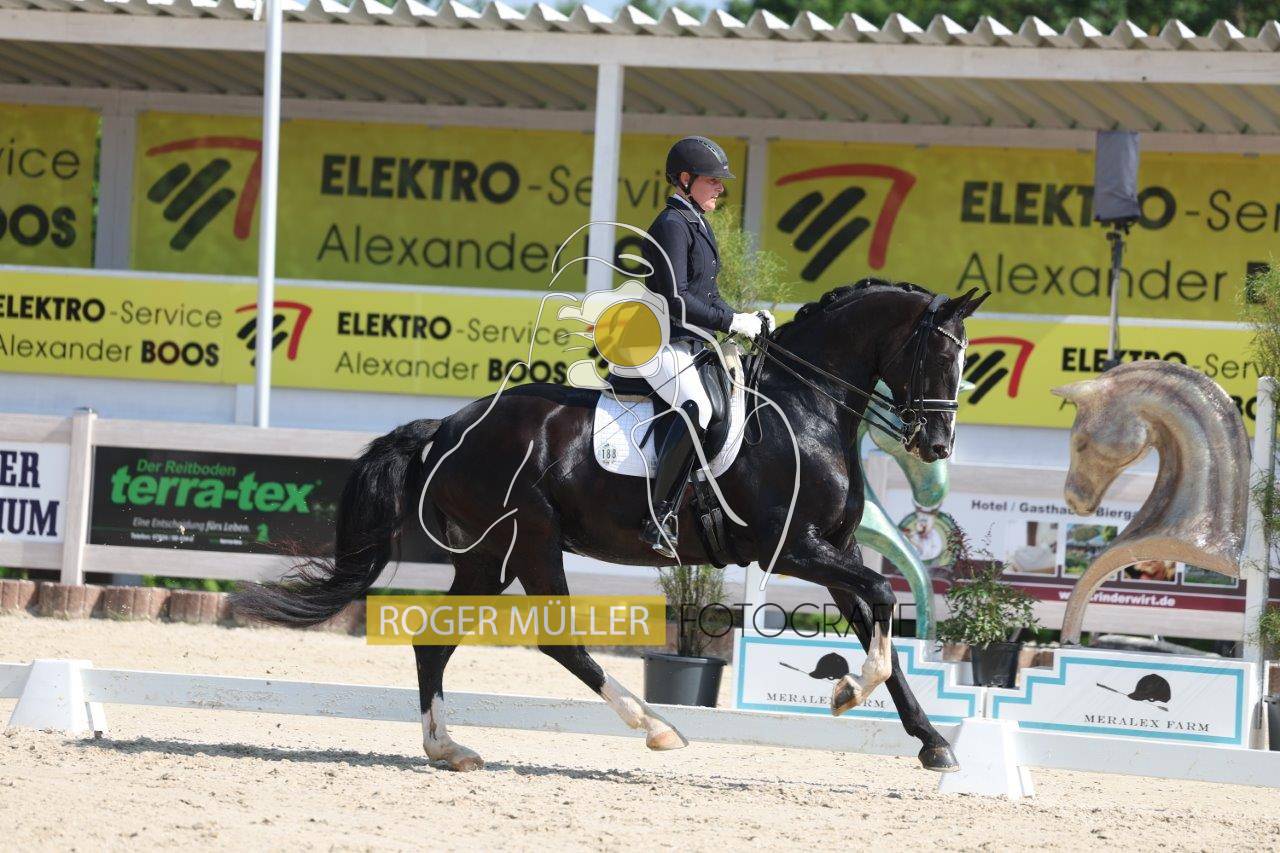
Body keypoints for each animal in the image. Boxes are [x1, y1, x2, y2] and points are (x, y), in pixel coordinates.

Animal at [233, 279, 989, 774]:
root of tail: (446, 426)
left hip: (490, 555)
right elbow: (884, 598)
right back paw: (656, 727)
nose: (938, 443)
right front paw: (847, 693)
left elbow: (875, 621)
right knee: (560, 641)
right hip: (532, 542)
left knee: (433, 642)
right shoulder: (795, 548)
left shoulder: (830, 550)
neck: (806, 408)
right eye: (938, 355)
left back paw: (447, 747)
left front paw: (931, 742)